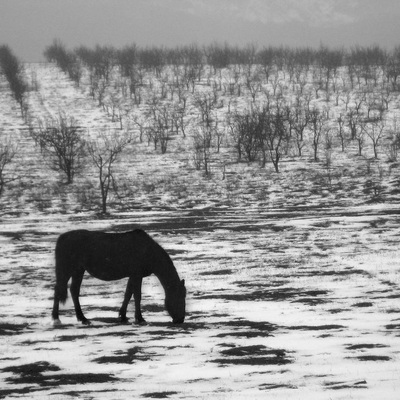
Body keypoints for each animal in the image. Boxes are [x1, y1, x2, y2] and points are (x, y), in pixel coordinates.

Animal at [51, 228, 186, 324]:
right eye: (179, 297)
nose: (180, 319)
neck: (148, 251)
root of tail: (62, 237)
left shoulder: (133, 276)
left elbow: (128, 294)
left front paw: (123, 316)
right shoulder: (137, 275)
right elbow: (137, 296)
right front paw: (140, 318)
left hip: (78, 270)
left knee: (74, 290)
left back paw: (82, 318)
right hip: (67, 270)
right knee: (59, 289)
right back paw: (56, 318)